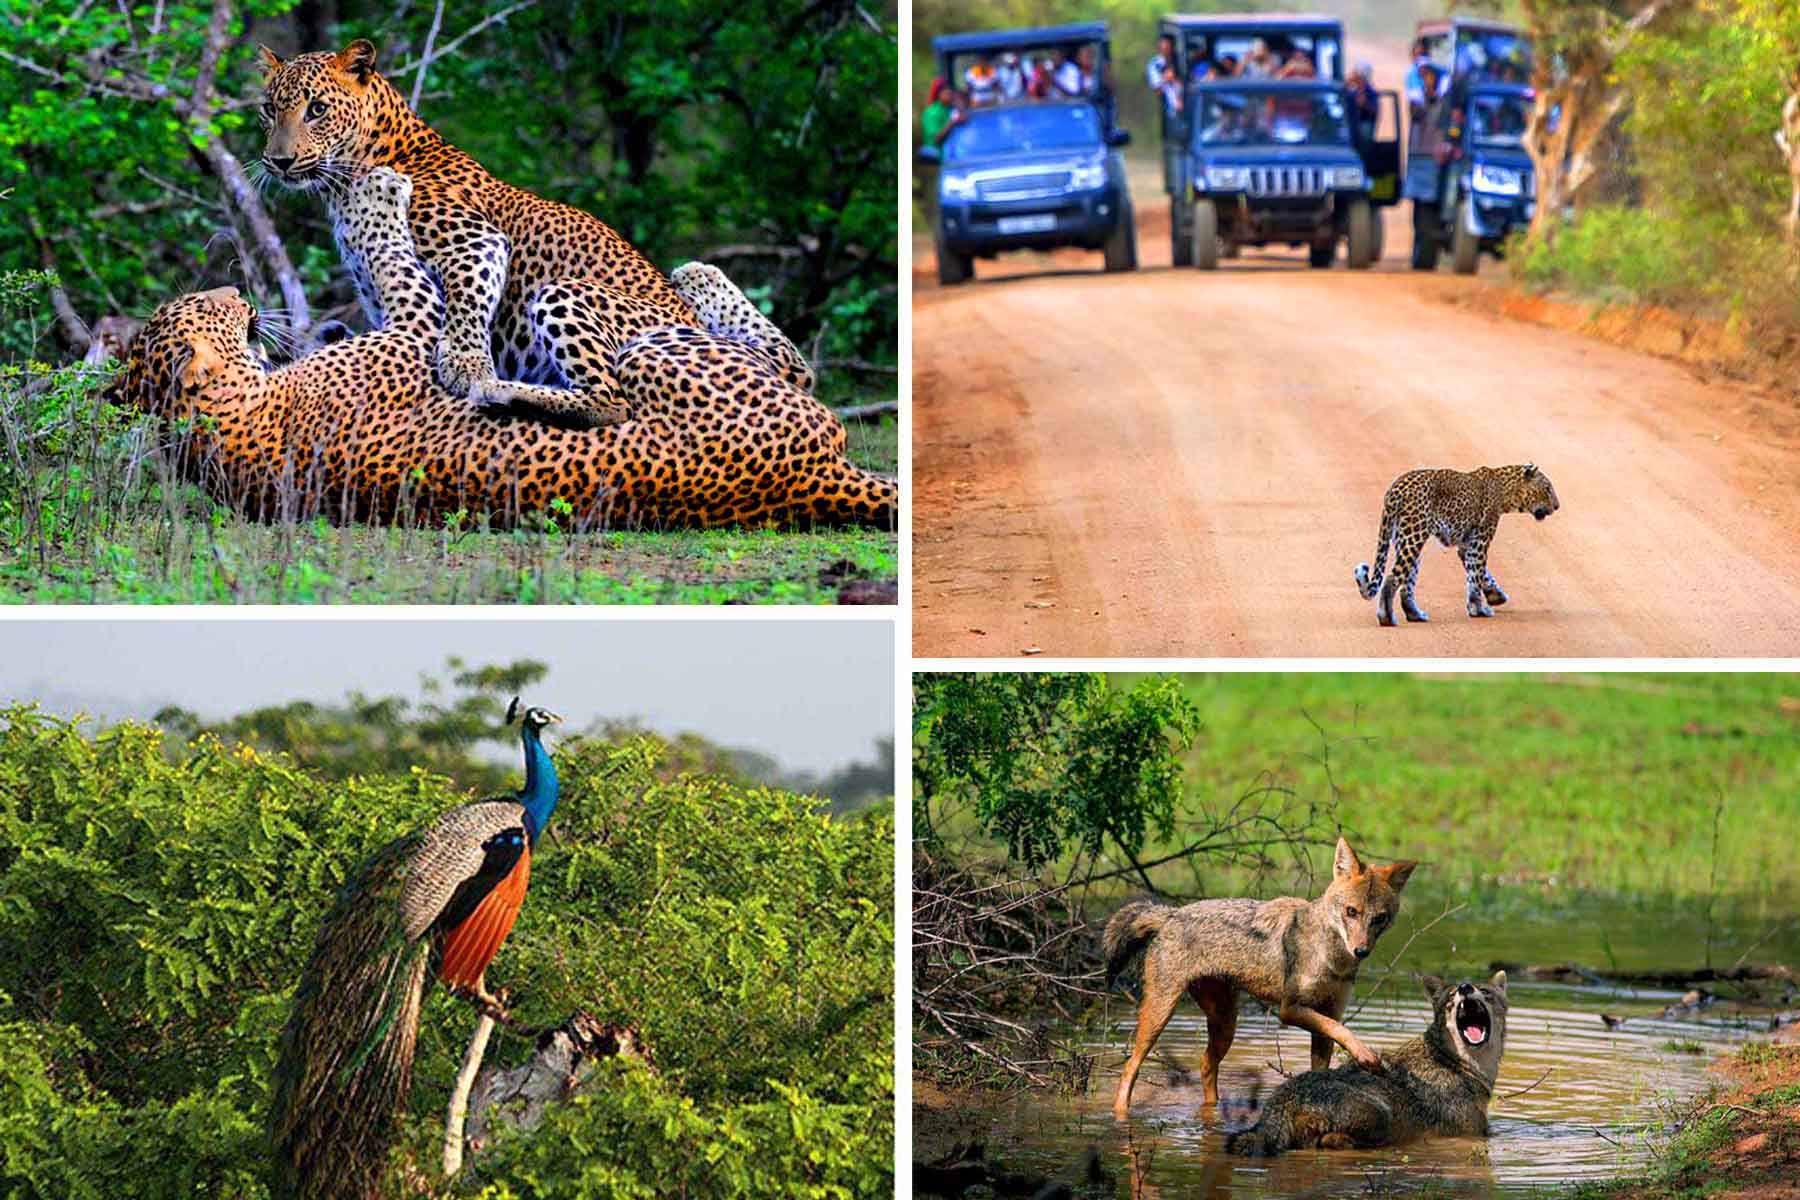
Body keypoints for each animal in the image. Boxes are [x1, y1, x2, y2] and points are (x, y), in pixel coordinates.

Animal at [94, 169, 896, 528]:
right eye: (216, 306)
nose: (241, 292)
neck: (214, 421)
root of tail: (812, 476)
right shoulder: (413, 333)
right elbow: (391, 259)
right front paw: (377, 191)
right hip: (642, 341)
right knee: (623, 396)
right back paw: (509, 388)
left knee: (784, 357)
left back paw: (695, 272)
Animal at [252, 37, 694, 415]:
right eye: (269, 109)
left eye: (317, 110)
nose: (279, 161)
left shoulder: (474, 242)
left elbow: (465, 304)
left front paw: (466, 367)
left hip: (567, 293)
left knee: (611, 401)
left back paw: (505, 392)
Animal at [1353, 464, 1555, 629]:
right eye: (1547, 488)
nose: (1557, 506)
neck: (1506, 490)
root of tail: (1394, 490)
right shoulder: (1481, 539)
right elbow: (1476, 574)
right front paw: (1478, 609)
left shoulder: (1466, 545)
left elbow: (1480, 574)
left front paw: (1495, 596)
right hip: (1414, 535)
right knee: (1392, 578)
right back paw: (1387, 618)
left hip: (1403, 537)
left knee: (1407, 583)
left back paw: (1415, 615)